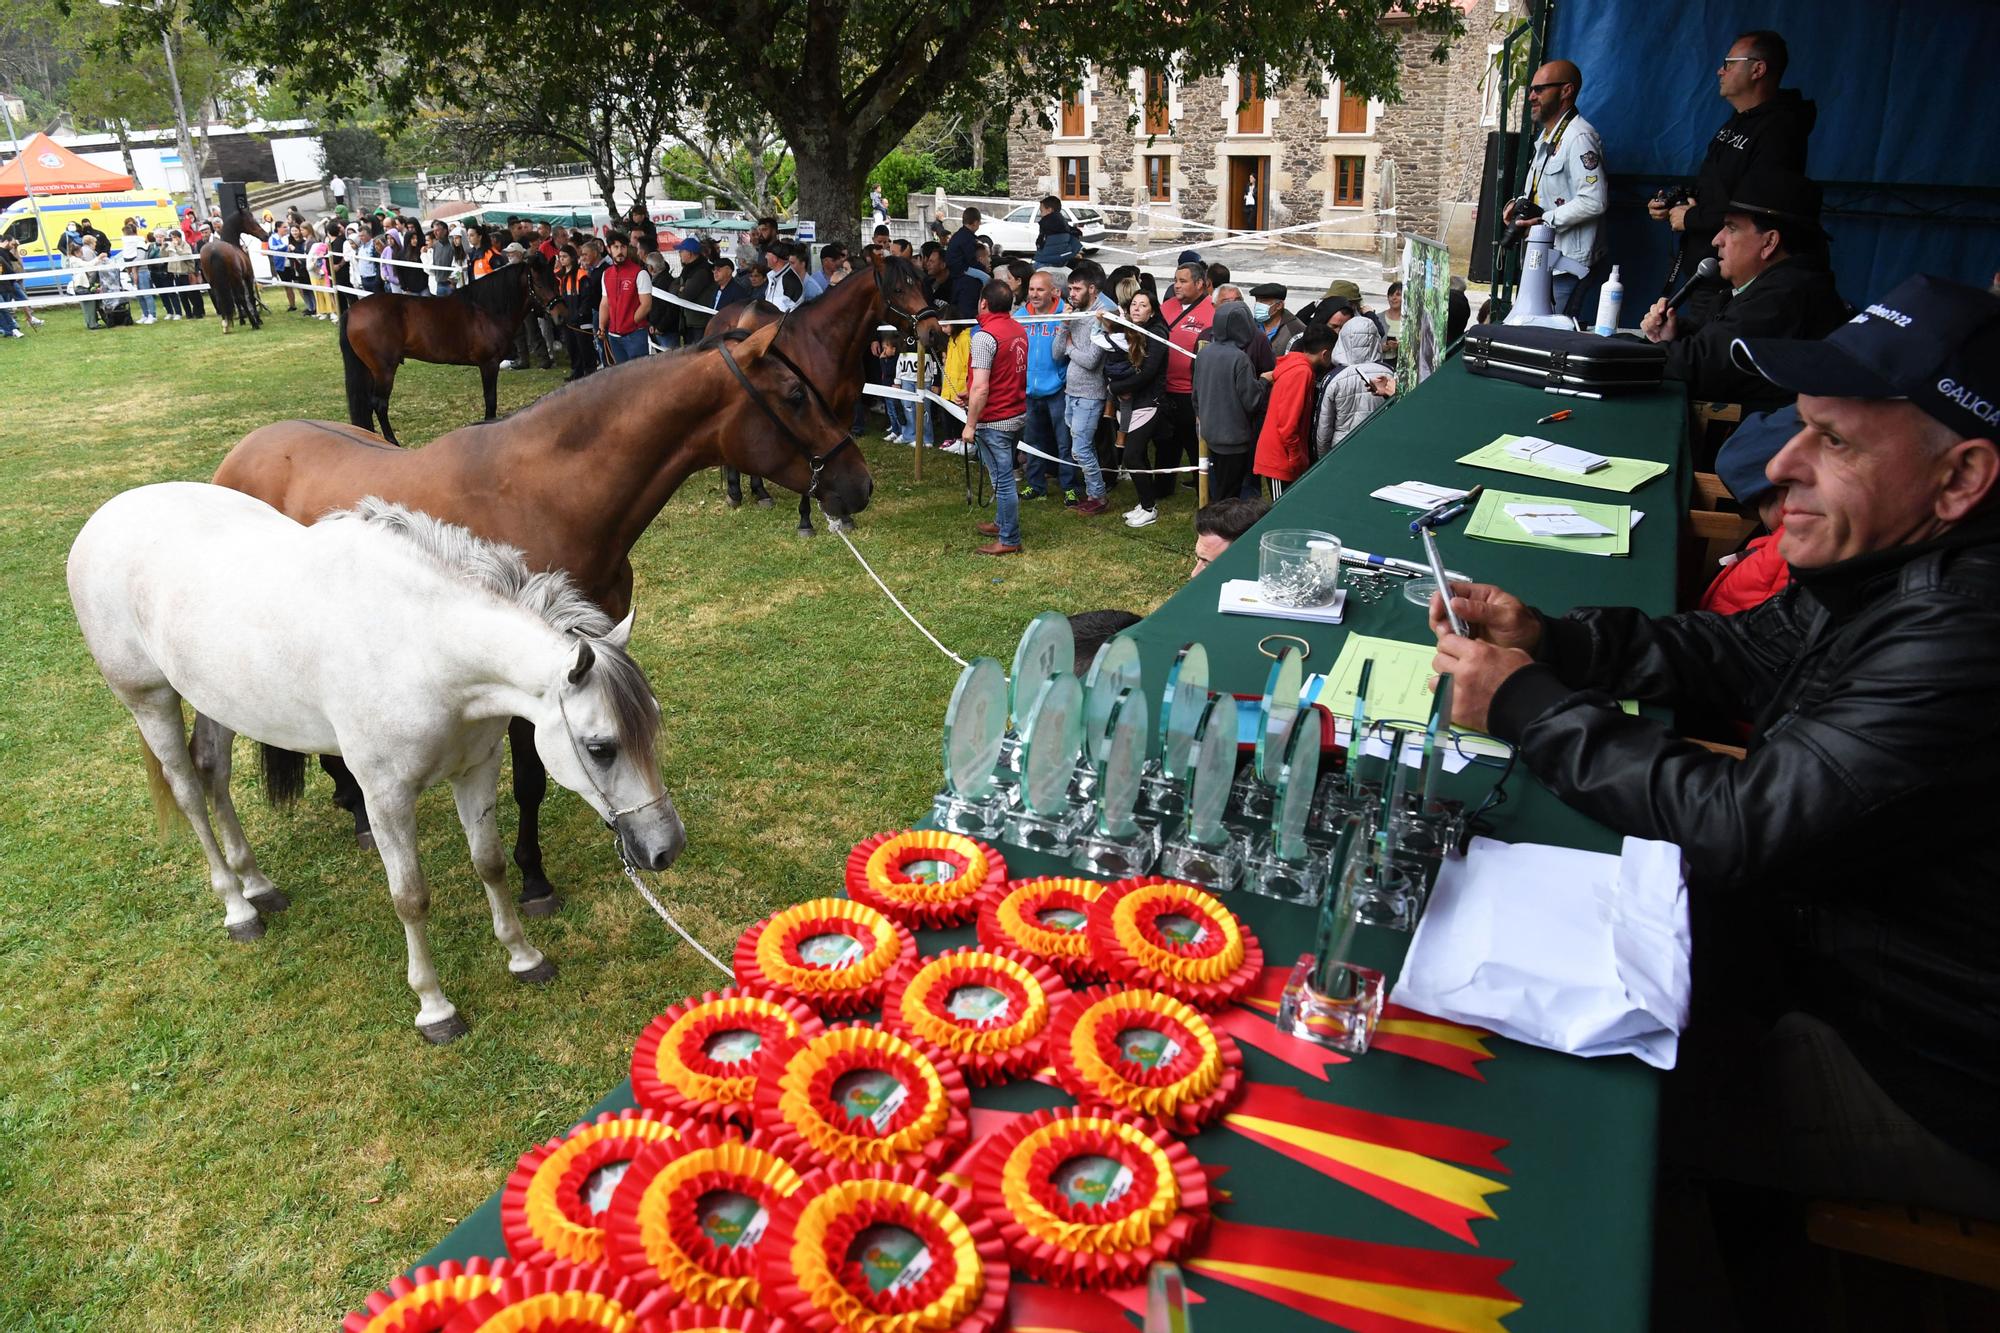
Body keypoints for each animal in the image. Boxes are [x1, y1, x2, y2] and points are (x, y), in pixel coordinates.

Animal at [68, 480, 688, 1040]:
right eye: (600, 747)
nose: (666, 847)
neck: (421, 648)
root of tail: (106, 515)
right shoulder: (384, 795)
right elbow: (410, 898)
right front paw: (434, 1007)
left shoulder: (476, 770)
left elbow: (489, 864)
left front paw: (524, 957)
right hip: (151, 701)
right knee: (189, 792)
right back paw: (238, 909)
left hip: (217, 699)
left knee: (213, 773)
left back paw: (258, 884)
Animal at [336, 254, 556, 446]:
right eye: (539, 284)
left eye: (555, 280)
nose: (559, 313)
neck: (485, 310)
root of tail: (352, 310)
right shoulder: (489, 364)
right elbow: (490, 400)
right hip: (384, 371)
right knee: (379, 404)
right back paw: (392, 441)